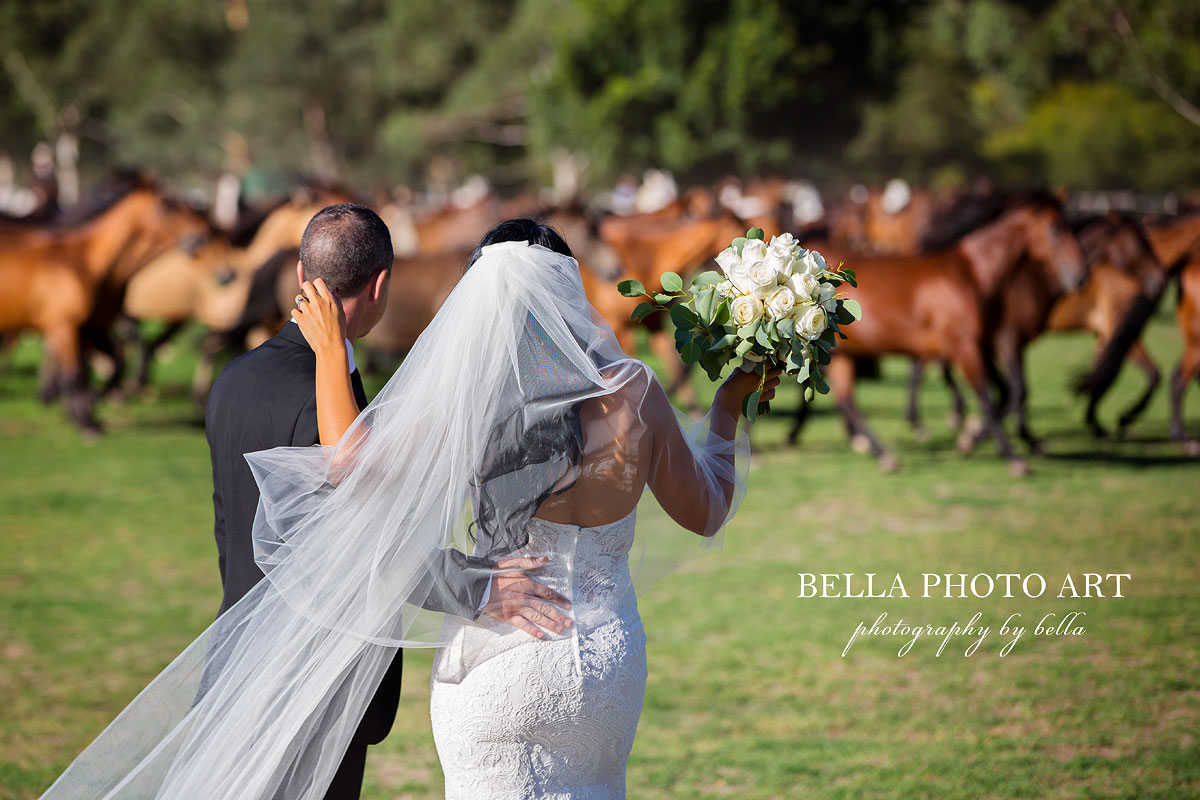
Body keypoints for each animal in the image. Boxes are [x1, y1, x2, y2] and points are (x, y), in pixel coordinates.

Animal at [806, 194, 1089, 474]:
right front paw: (1011, 456)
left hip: (843, 354)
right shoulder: (968, 347)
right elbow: (988, 397)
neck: (972, 275)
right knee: (844, 400)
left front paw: (975, 436)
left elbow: (1008, 392)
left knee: (846, 401)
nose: (1080, 276)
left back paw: (881, 453)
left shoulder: (985, 345)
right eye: (1056, 228)